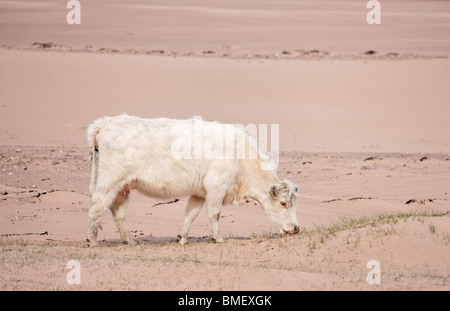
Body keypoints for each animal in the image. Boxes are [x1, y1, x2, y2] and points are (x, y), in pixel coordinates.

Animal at [87, 113, 298, 247]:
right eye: (283, 203)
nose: (296, 229)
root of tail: (104, 124)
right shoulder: (216, 187)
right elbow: (215, 214)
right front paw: (218, 238)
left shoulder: (199, 193)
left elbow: (191, 214)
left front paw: (181, 238)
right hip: (109, 181)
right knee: (97, 205)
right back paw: (92, 240)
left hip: (122, 187)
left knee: (119, 213)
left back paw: (129, 241)